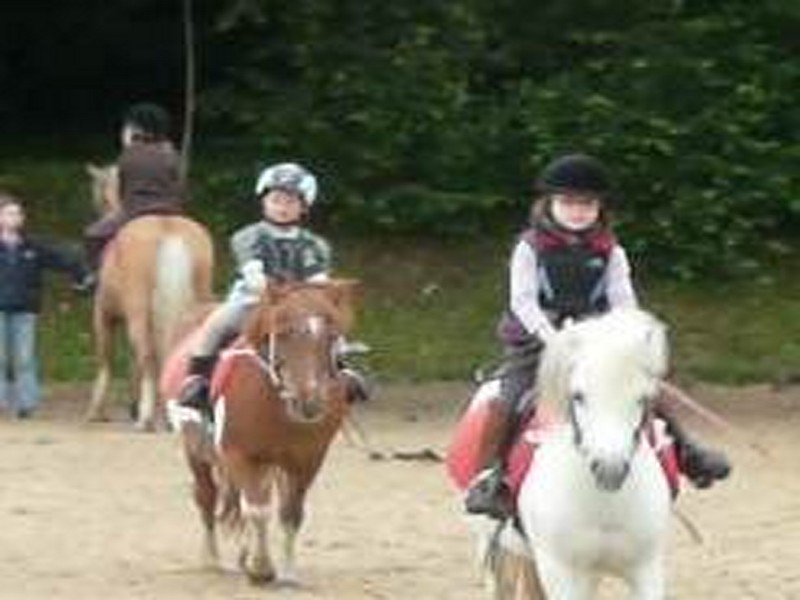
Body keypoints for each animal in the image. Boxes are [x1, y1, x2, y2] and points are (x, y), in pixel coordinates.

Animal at [84, 163, 215, 430]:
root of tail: (167, 227)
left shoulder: (102, 316)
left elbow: (106, 361)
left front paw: (97, 411)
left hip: (137, 313)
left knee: (146, 354)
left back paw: (146, 419)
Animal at [166, 280, 357, 584]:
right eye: (284, 333)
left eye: (332, 336)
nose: (310, 401)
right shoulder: (241, 455)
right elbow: (256, 509)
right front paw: (261, 568)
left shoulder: (307, 461)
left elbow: (290, 513)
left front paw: (288, 571)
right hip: (195, 451)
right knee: (207, 497)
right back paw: (211, 559)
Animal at [464, 308, 673, 600]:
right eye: (578, 396)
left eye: (642, 398)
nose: (609, 469)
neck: (604, 504)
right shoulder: (562, 572)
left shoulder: (645, 568)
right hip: (492, 546)